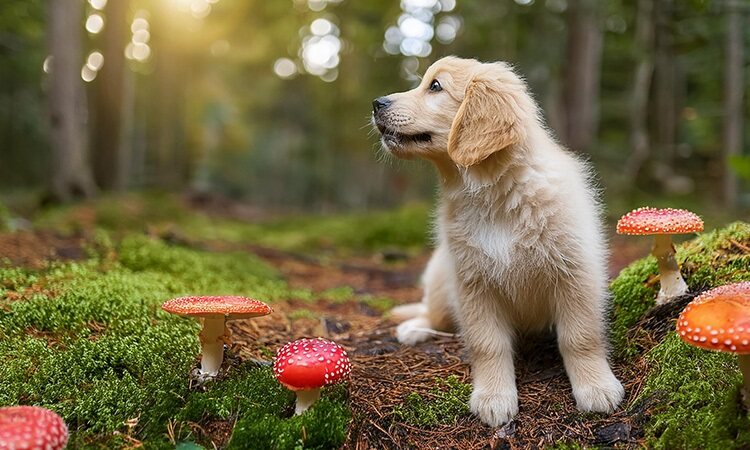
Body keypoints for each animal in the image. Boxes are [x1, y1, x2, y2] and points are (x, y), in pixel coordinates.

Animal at [374, 58, 624, 428]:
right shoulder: (472, 282)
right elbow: (487, 345)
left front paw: (596, 386)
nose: (377, 103)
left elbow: (579, 337)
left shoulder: (575, 274)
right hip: (441, 275)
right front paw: (493, 396)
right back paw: (415, 327)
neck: (495, 196)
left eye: (435, 86)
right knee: (434, 315)